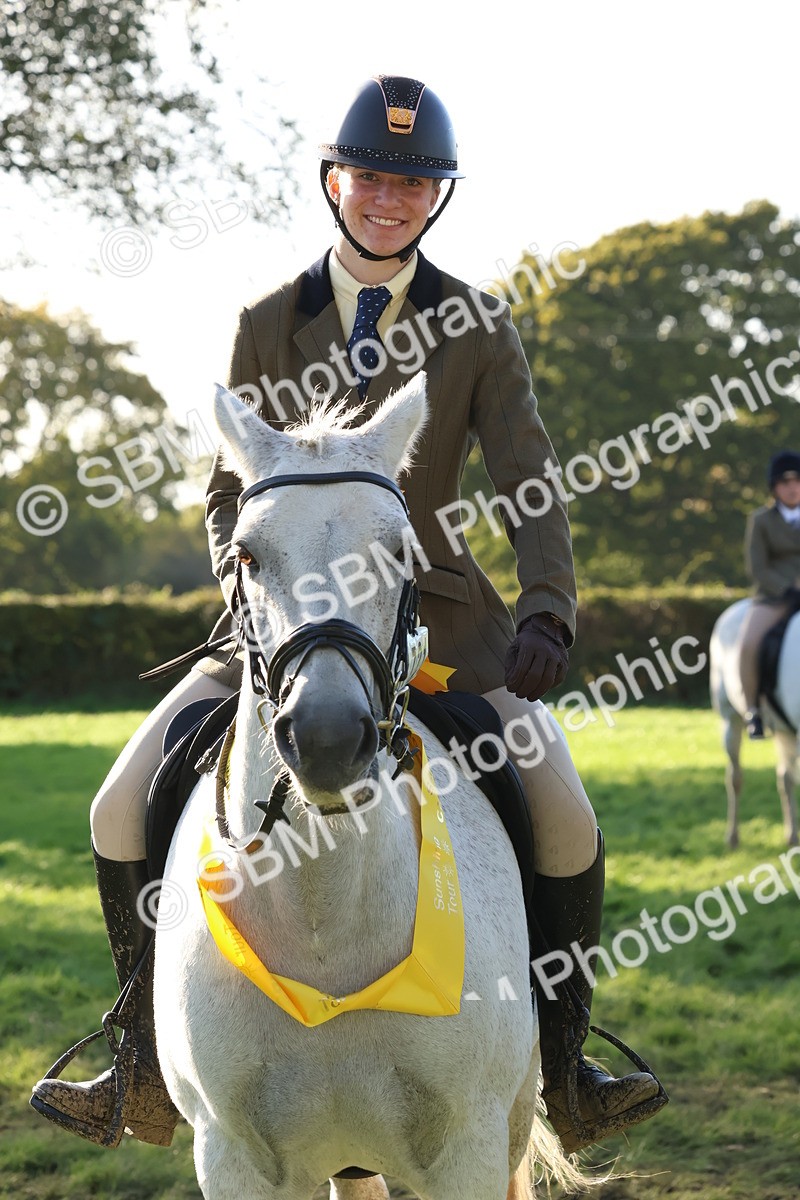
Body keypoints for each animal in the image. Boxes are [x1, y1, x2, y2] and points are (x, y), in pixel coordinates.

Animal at [152, 373, 590, 1200]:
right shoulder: (231, 1157)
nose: (326, 738)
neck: (325, 922)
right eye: (245, 555)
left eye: (401, 553)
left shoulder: (470, 1152)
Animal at [709, 598, 800, 849]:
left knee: (785, 778)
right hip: (731, 721)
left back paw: (792, 835)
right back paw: (732, 837)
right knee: (735, 777)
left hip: (785, 731)